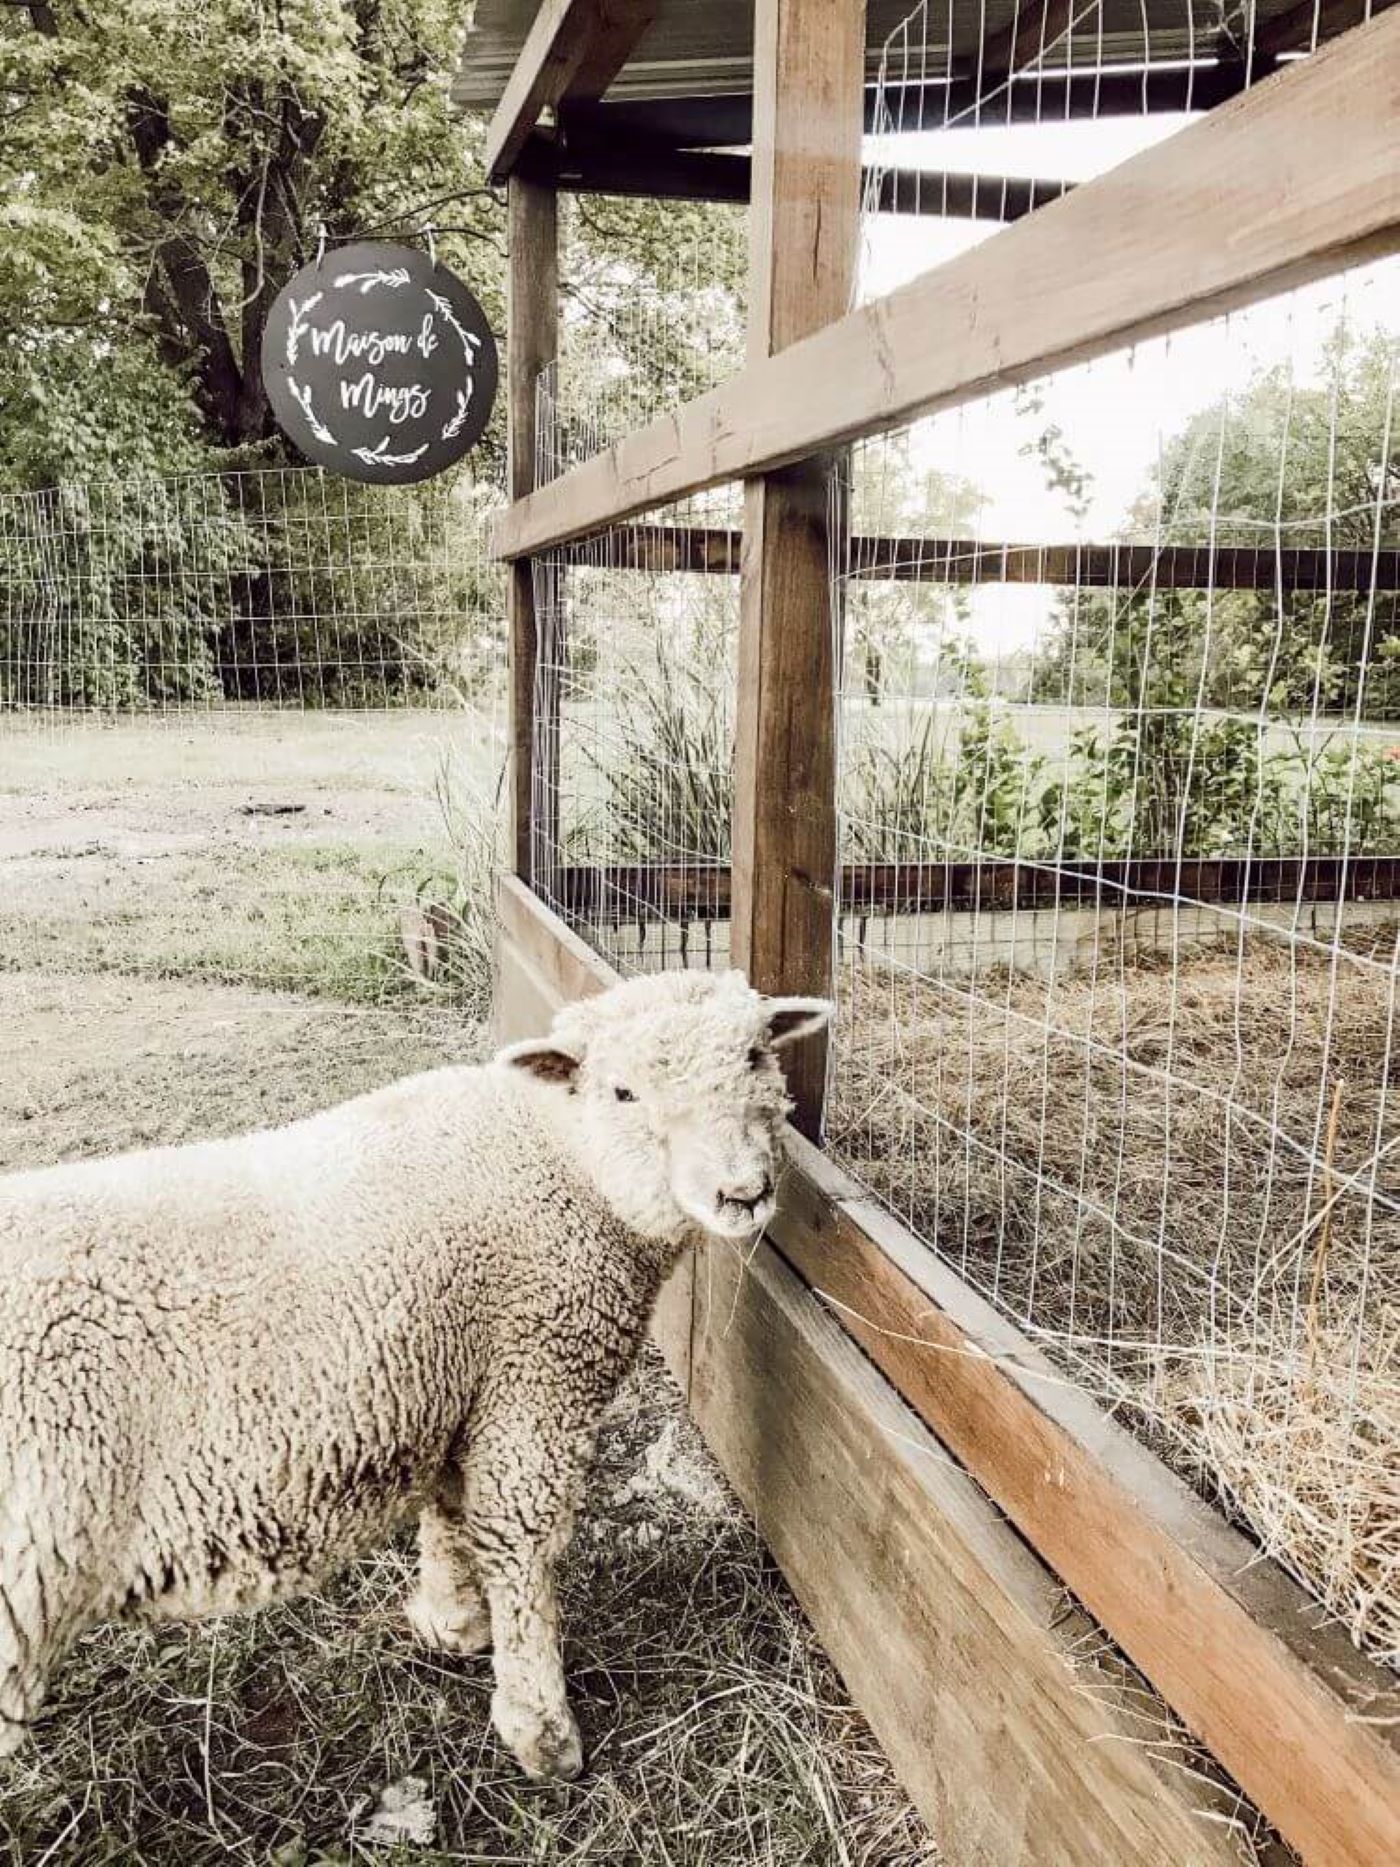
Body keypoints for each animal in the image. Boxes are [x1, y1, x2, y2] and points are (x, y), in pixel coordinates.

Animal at [0, 978, 828, 1777]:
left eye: (756, 1055)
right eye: (622, 1091)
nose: (743, 1192)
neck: (561, 1156)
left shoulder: (457, 1385)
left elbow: (449, 1507)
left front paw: (450, 1619)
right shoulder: (535, 1379)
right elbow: (519, 1542)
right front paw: (540, 1725)